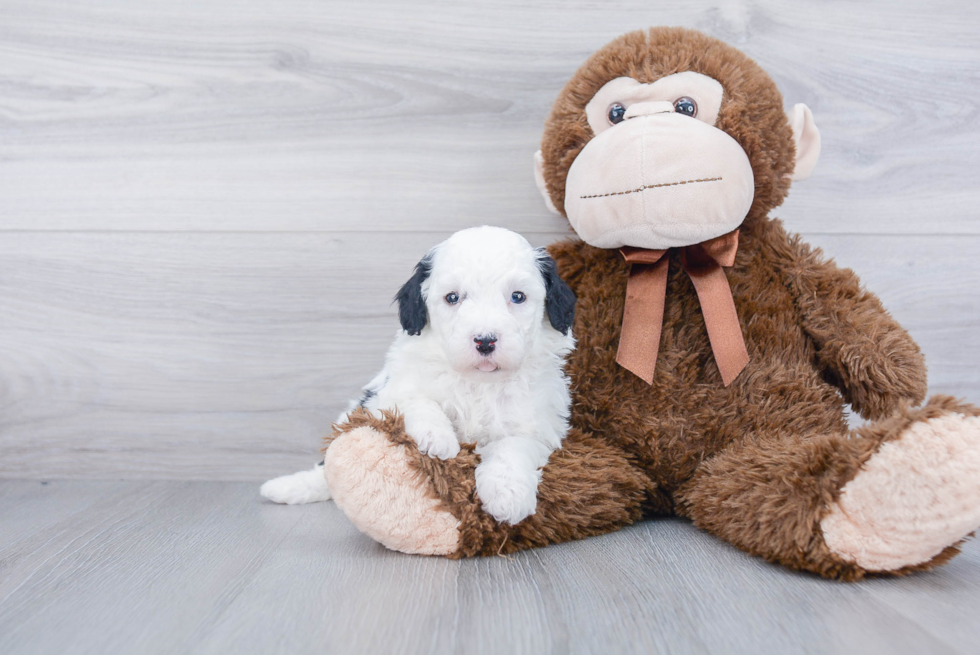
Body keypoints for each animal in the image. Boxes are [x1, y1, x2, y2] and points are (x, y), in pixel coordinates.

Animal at [264, 228, 580, 524]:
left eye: (518, 297)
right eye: (452, 297)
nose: (485, 341)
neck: (478, 384)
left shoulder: (538, 424)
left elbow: (513, 448)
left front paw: (507, 496)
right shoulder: (390, 392)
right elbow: (417, 401)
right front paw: (437, 437)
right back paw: (288, 487)